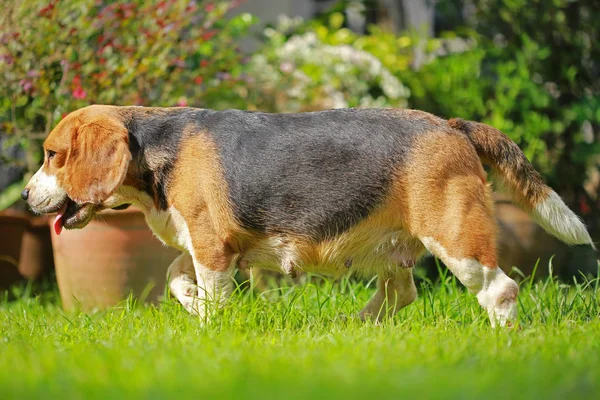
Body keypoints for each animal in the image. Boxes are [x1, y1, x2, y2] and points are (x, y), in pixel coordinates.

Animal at [21, 105, 592, 324]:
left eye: (52, 155)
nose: (24, 196)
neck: (159, 144)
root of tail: (452, 124)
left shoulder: (212, 248)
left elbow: (208, 291)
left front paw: (210, 325)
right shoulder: (205, 245)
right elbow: (175, 276)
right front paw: (193, 307)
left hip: (456, 240)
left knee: (501, 290)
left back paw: (501, 338)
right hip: (393, 250)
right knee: (401, 293)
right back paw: (355, 326)